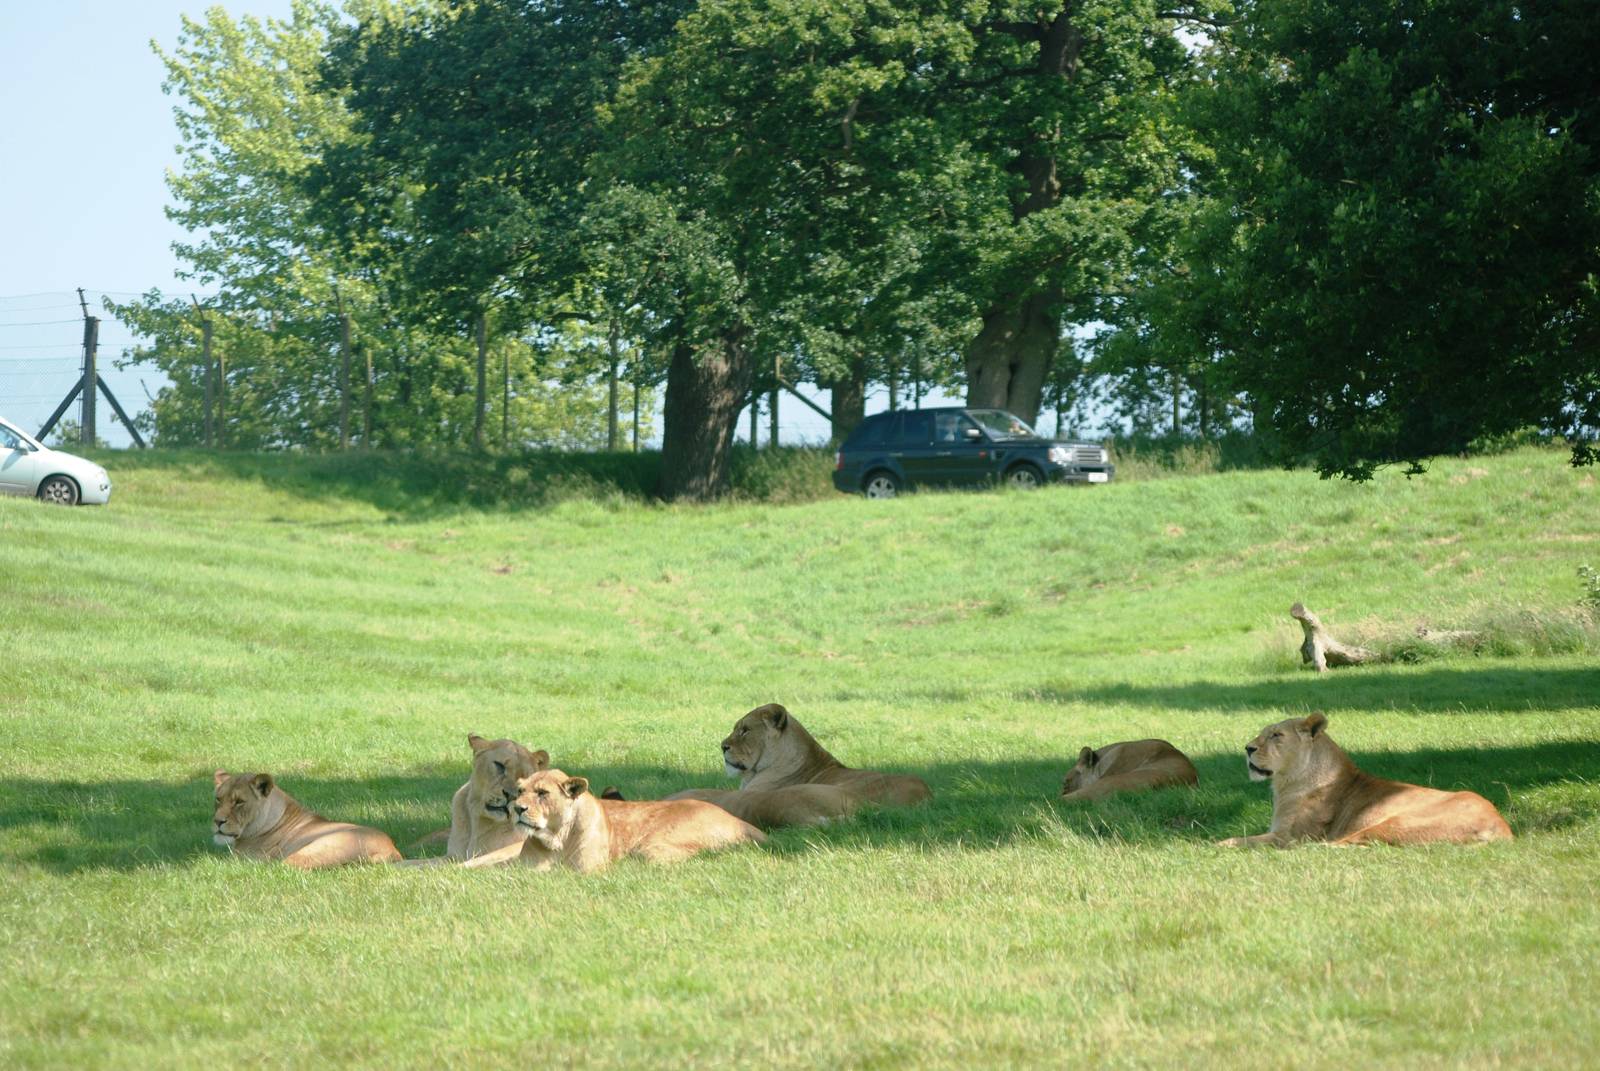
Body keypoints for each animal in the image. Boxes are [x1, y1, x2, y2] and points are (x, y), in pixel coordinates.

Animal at [464, 768, 765, 873]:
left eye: (542, 793)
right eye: (519, 791)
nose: (517, 808)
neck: (556, 838)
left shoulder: (587, 871)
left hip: (651, 847)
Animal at [1219, 712, 1513, 847]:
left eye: (1276, 735)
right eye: (1263, 733)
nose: (1247, 748)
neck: (1285, 783)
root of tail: (1501, 825)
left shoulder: (1288, 836)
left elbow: (1243, 839)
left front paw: (1219, 845)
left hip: (1394, 821)